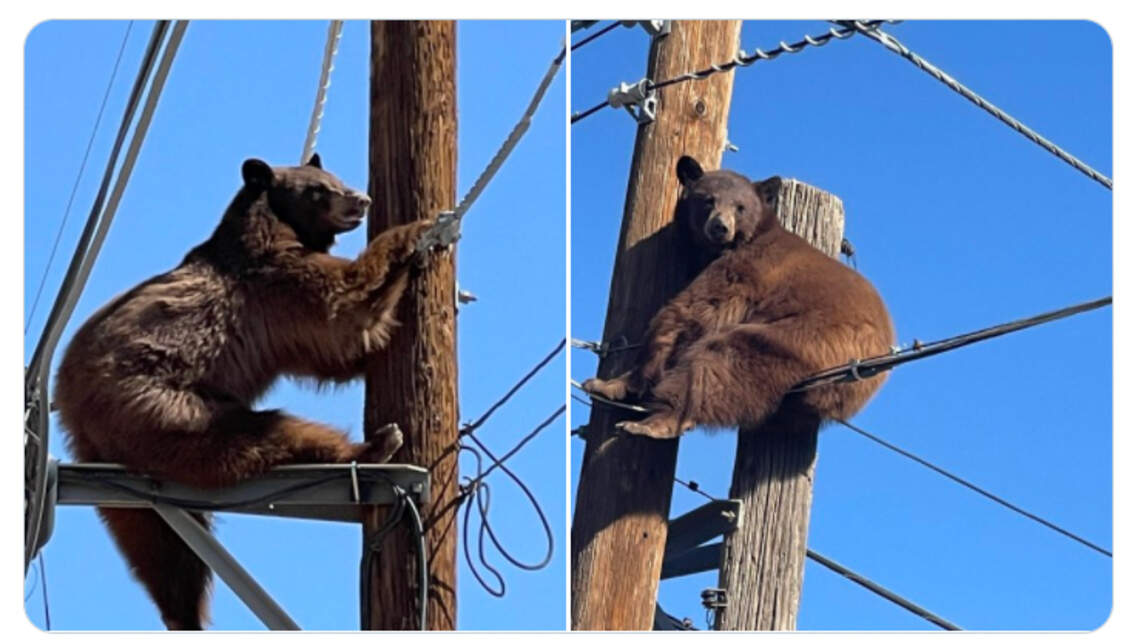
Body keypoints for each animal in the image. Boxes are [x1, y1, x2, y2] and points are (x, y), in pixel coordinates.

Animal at [54, 153, 435, 630]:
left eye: (334, 177)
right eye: (317, 189)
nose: (361, 200)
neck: (272, 227)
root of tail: (70, 402)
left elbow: (337, 352)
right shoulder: (272, 283)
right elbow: (342, 309)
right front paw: (419, 230)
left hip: (129, 466)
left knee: (159, 548)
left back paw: (183, 614)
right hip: (164, 406)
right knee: (261, 434)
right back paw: (374, 446)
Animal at [583, 155, 896, 439]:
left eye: (740, 206)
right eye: (708, 200)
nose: (720, 227)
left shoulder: (745, 270)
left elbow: (692, 311)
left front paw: (610, 384)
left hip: (810, 339)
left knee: (721, 360)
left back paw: (657, 422)